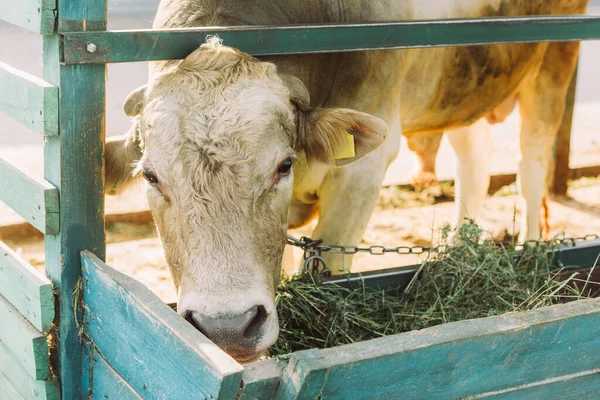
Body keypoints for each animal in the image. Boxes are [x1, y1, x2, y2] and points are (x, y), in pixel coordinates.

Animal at [105, 0, 588, 360]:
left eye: (284, 165)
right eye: (150, 174)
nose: (226, 328)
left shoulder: (359, 177)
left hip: (554, 60)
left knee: (531, 162)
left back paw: (530, 250)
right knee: (475, 157)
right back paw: (457, 250)